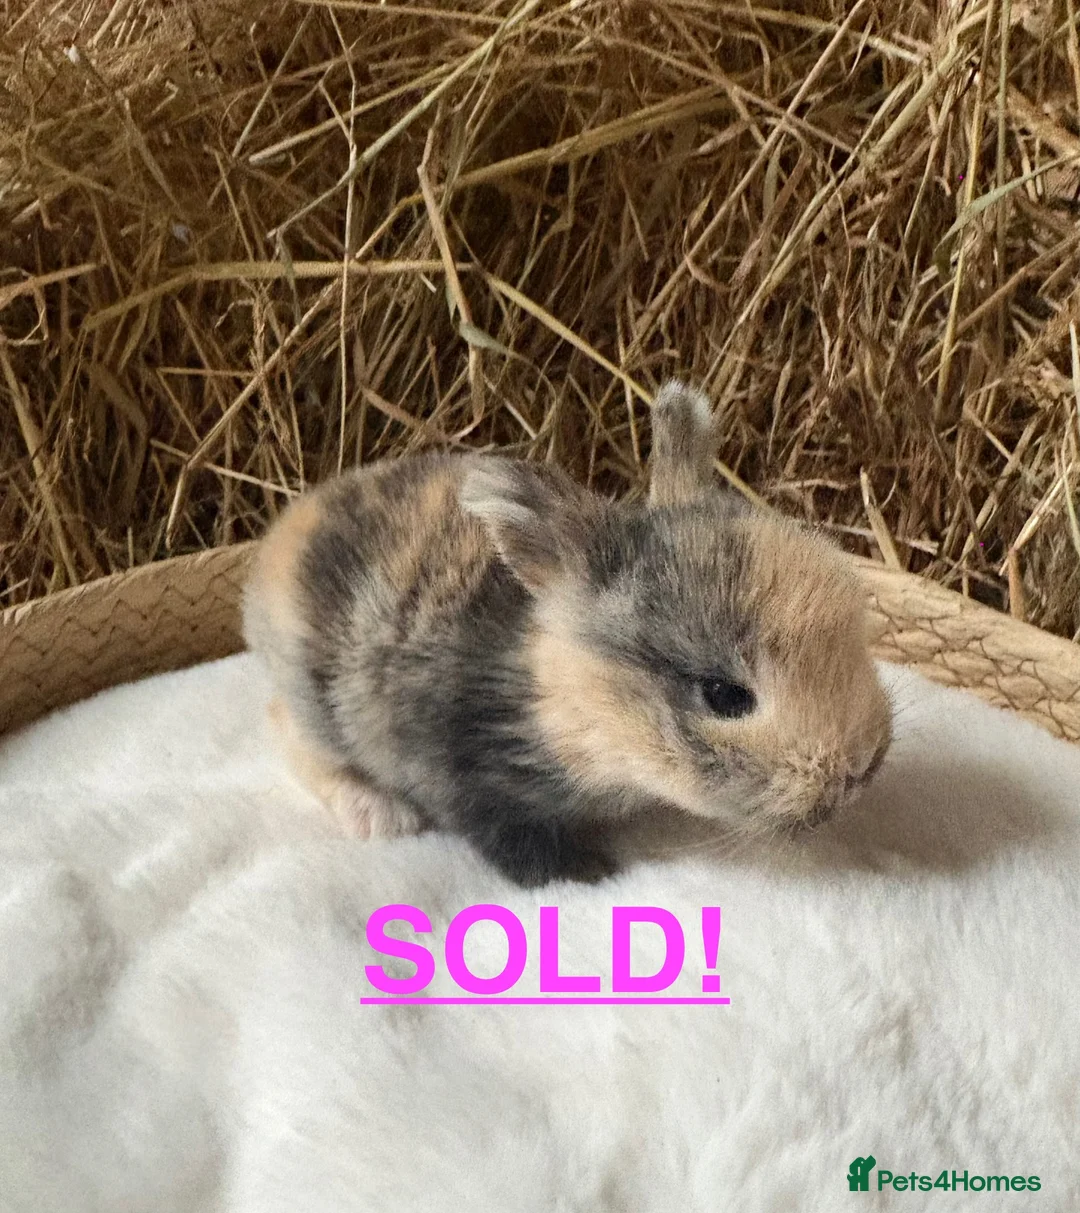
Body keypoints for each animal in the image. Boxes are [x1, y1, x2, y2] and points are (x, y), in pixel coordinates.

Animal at [243, 381, 892, 887]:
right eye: (725, 696)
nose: (862, 767)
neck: (572, 704)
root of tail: (274, 548)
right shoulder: (472, 785)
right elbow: (516, 848)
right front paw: (596, 873)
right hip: (317, 702)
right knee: (286, 729)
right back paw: (378, 815)